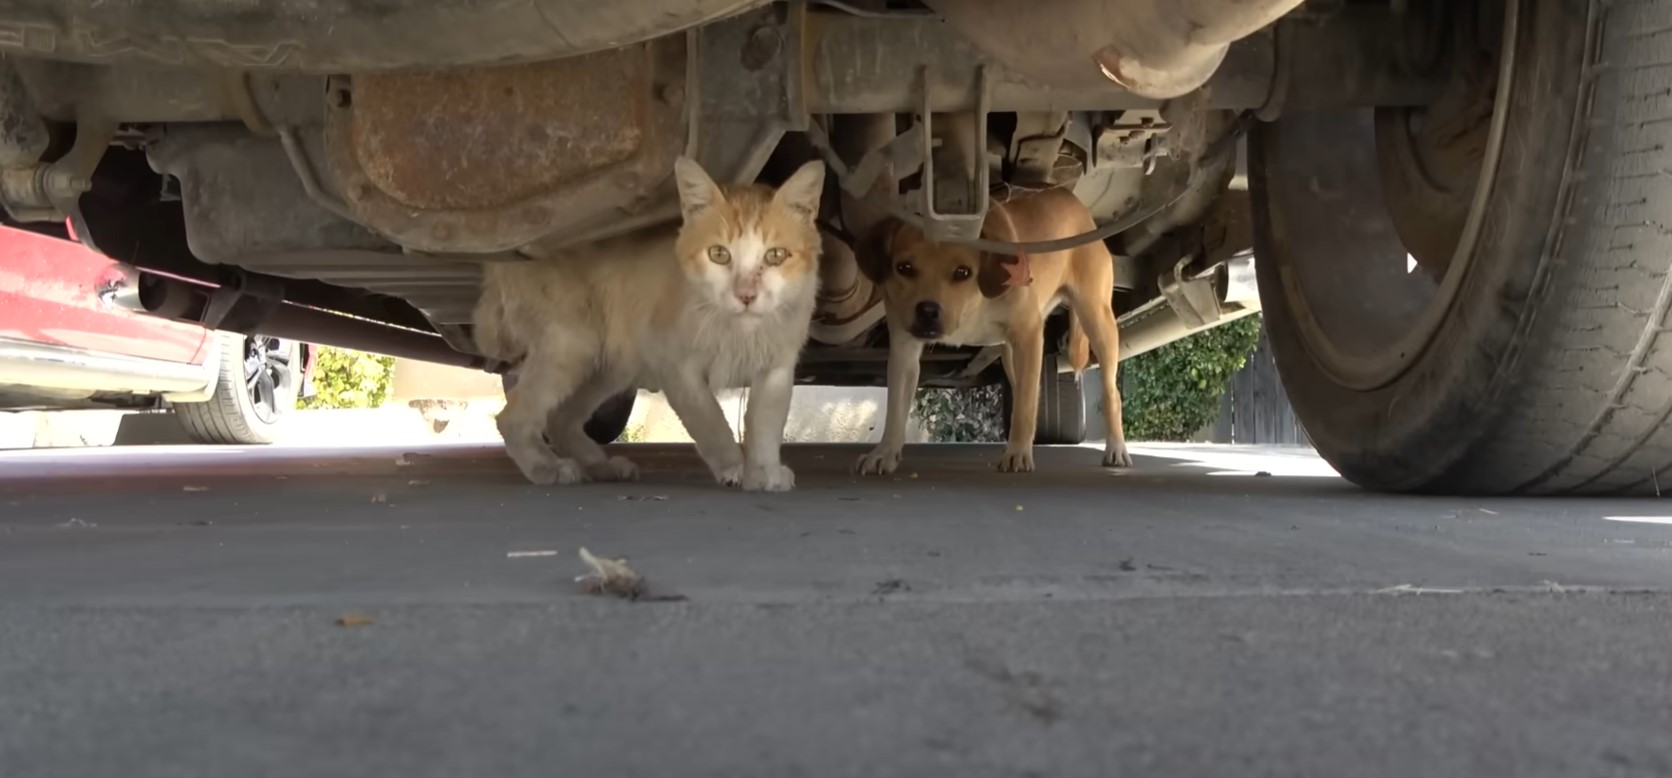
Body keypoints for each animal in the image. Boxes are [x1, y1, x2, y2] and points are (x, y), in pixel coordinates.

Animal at [471, 154, 822, 488]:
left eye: (775, 255)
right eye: (719, 254)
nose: (746, 295)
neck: (738, 331)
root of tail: (502, 259)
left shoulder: (777, 367)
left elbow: (765, 425)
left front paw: (764, 471)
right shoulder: (674, 364)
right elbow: (709, 418)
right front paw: (733, 465)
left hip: (610, 364)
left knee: (560, 418)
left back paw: (601, 466)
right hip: (572, 343)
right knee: (512, 417)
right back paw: (547, 468)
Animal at [856, 188, 1130, 471]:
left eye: (963, 272)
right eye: (904, 268)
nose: (928, 312)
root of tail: (1072, 200)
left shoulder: (1029, 335)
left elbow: (1024, 407)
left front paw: (1018, 453)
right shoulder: (904, 350)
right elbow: (895, 409)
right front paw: (885, 452)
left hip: (1097, 321)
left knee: (1110, 394)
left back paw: (1115, 448)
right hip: (1010, 354)